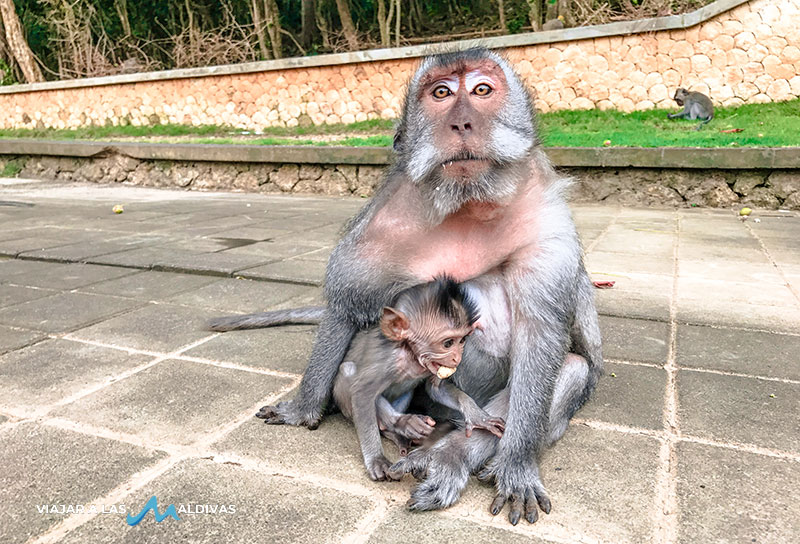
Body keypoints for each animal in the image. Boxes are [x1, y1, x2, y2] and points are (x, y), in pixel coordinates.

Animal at [331, 277, 505, 481]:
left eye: (462, 340)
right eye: (448, 343)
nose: (457, 358)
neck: (412, 356)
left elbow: (436, 389)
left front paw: (477, 416)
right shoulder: (388, 360)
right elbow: (362, 393)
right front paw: (376, 459)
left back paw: (396, 432)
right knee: (349, 372)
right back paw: (402, 423)